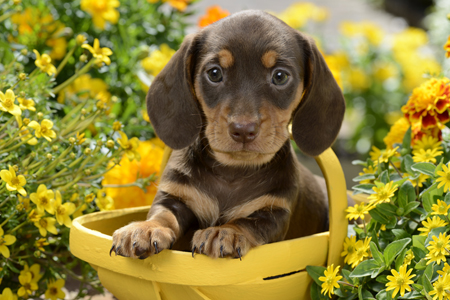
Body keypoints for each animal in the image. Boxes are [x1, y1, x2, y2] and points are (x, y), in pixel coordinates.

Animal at [110, 10, 346, 260]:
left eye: (280, 76)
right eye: (214, 73)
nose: (243, 129)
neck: (232, 172)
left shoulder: (274, 211)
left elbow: (246, 222)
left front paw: (224, 232)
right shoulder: (174, 196)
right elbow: (162, 214)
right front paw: (144, 229)